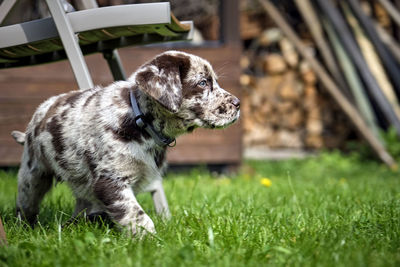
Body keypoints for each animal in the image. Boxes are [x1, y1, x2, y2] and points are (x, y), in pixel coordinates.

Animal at [12, 50, 241, 237]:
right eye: (203, 83)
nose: (238, 103)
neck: (140, 120)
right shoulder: (110, 180)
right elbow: (137, 214)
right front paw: (151, 242)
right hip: (33, 175)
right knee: (25, 205)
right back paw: (24, 229)